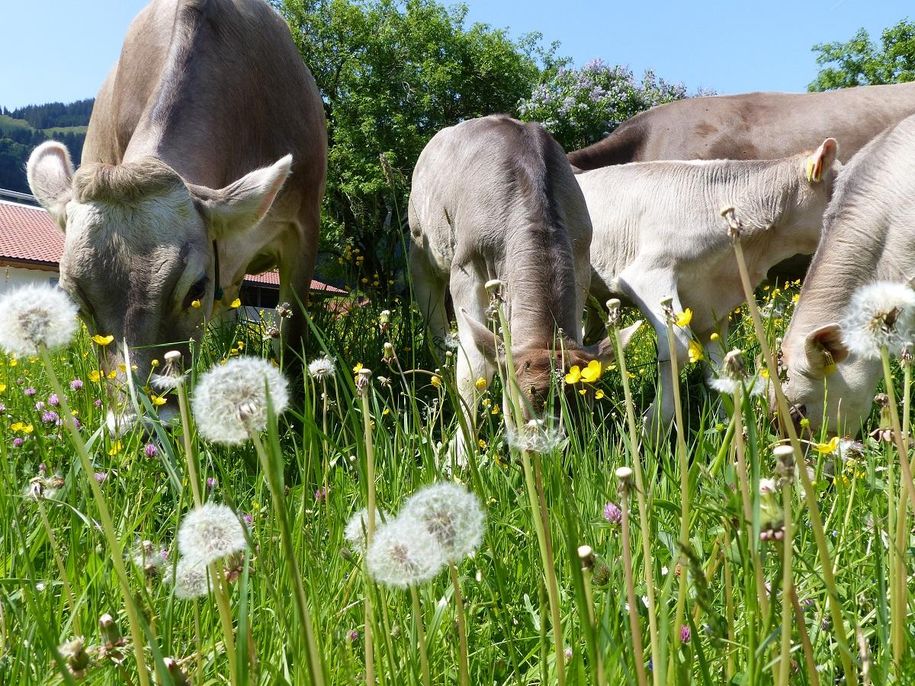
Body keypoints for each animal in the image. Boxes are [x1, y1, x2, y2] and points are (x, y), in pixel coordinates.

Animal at [408, 117, 636, 462]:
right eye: (514, 408)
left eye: (584, 408)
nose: (546, 460)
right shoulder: (466, 269)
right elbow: (474, 371)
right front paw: (457, 456)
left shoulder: (581, 262)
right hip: (422, 242)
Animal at [580, 140, 844, 430]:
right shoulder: (649, 275)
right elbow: (677, 348)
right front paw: (653, 425)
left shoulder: (712, 304)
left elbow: (719, 362)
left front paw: (726, 422)